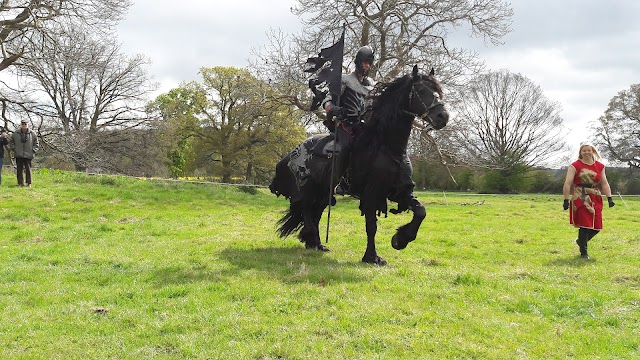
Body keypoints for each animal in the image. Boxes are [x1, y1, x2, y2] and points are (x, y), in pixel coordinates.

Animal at [270, 66, 450, 266]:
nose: (443, 116)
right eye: (420, 90)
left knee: (315, 211)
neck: (387, 146)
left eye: (438, 90)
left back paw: (316, 243)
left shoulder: (401, 191)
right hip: (308, 187)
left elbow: (420, 211)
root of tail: (291, 153)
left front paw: (400, 239)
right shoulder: (372, 193)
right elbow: (371, 226)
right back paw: (310, 237)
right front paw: (372, 257)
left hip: (323, 191)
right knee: (306, 209)